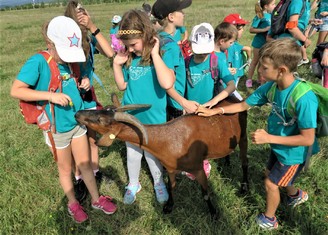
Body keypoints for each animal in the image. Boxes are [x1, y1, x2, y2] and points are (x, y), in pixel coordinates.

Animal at [75, 94, 249, 218]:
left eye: (101, 120)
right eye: (102, 109)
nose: (77, 113)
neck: (169, 139)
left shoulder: (198, 168)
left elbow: (205, 194)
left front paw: (213, 213)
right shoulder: (170, 168)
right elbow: (171, 187)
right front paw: (168, 206)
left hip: (243, 136)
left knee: (244, 162)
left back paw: (244, 188)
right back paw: (226, 164)